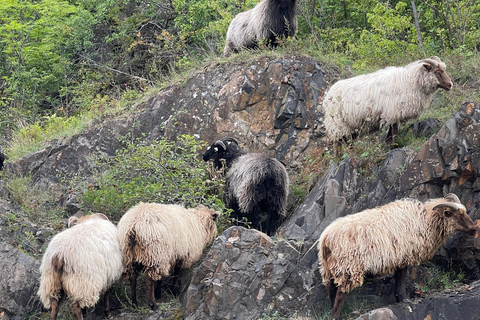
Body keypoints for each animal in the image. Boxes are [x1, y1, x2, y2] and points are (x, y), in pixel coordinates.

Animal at [316, 192, 478, 320]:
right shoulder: (404, 254)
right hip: (348, 266)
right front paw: (405, 300)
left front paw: (401, 299)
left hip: (329, 268)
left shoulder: (400, 256)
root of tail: (326, 238)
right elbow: (401, 278)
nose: (475, 229)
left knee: (332, 291)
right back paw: (336, 316)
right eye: (456, 214)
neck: (425, 220)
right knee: (340, 294)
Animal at [322, 56, 454, 145]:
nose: (450, 85)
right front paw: (393, 146)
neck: (410, 82)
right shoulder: (391, 113)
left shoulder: (392, 115)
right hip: (337, 124)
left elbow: (391, 133)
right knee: (338, 143)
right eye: (437, 72)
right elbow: (393, 132)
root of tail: (328, 95)